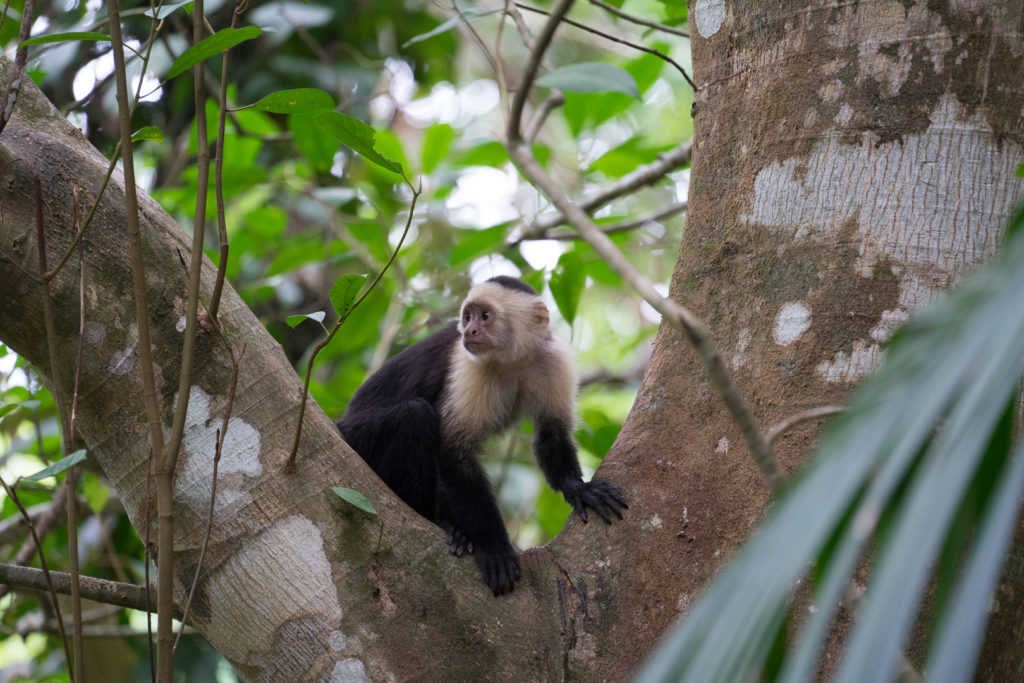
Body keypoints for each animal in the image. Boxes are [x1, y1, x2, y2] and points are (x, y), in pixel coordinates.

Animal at [337, 274, 622, 593]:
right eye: (467, 316)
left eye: (485, 316)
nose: (470, 330)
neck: (513, 360)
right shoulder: (468, 367)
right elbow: (454, 453)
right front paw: (495, 548)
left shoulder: (553, 360)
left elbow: (553, 434)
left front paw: (578, 488)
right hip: (357, 437)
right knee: (414, 415)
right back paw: (439, 522)